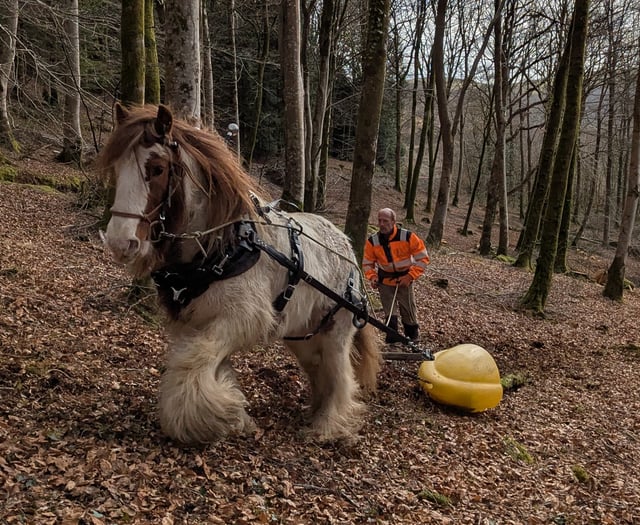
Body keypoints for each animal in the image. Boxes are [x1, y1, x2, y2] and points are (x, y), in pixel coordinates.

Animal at [98, 103, 381, 445]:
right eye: (117, 167)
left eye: (157, 169)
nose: (119, 241)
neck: (221, 246)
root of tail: (347, 247)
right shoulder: (192, 323)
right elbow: (206, 361)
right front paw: (232, 414)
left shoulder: (241, 318)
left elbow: (192, 361)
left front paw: (208, 416)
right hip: (302, 333)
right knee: (319, 367)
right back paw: (316, 410)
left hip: (336, 330)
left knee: (340, 373)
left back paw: (329, 424)